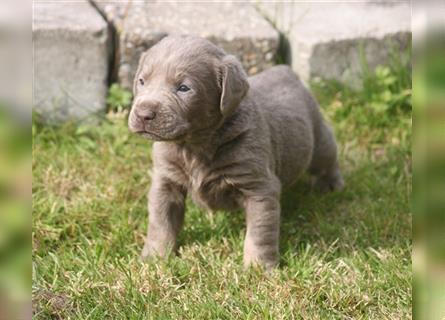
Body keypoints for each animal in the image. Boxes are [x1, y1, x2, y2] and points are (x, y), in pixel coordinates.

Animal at [128, 35, 344, 268]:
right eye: (142, 81)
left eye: (184, 88)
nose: (143, 113)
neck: (194, 146)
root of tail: (285, 70)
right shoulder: (166, 181)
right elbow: (161, 222)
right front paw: (154, 258)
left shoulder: (258, 187)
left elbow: (259, 233)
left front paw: (258, 267)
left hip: (317, 139)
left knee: (327, 156)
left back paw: (331, 185)